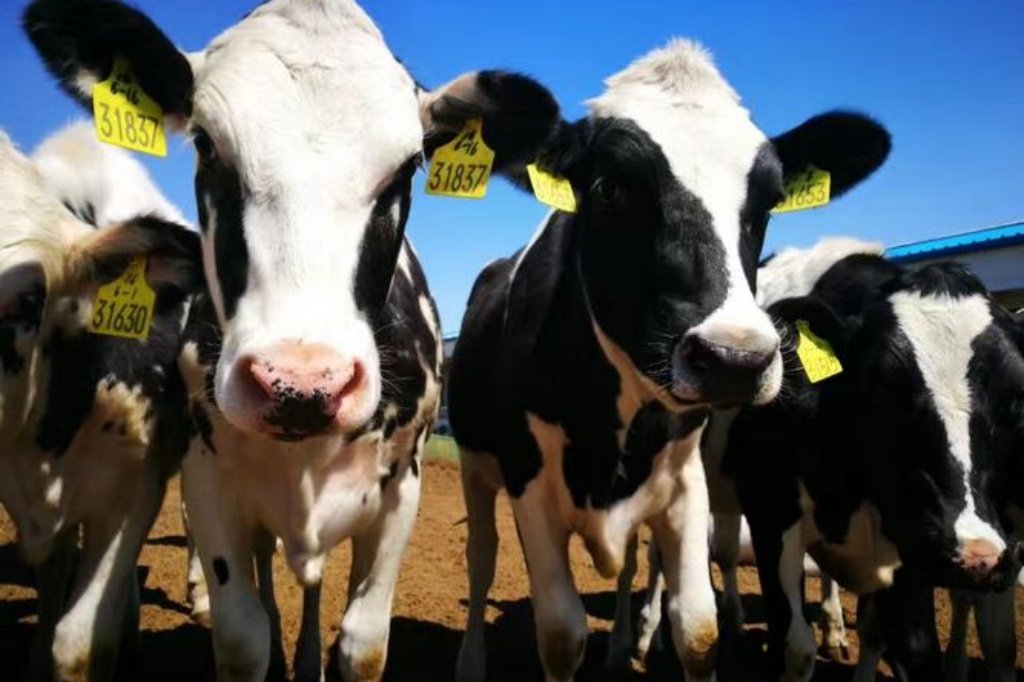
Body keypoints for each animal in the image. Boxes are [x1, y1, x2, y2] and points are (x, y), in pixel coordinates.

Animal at [24, 0, 564, 679]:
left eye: (408, 165)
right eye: (206, 145)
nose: (301, 384)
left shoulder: (402, 489)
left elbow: (362, 642)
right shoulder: (210, 479)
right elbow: (243, 636)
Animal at [448, 40, 891, 682]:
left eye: (770, 201)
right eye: (609, 188)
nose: (734, 358)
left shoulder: (684, 482)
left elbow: (698, 630)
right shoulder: (530, 485)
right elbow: (559, 634)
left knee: (631, 564)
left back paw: (622, 645)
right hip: (474, 465)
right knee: (481, 557)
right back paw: (472, 660)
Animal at [722, 242, 1024, 680]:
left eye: (1014, 398)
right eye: (884, 387)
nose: (978, 557)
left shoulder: (913, 541)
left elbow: (915, 647)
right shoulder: (769, 509)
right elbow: (793, 648)